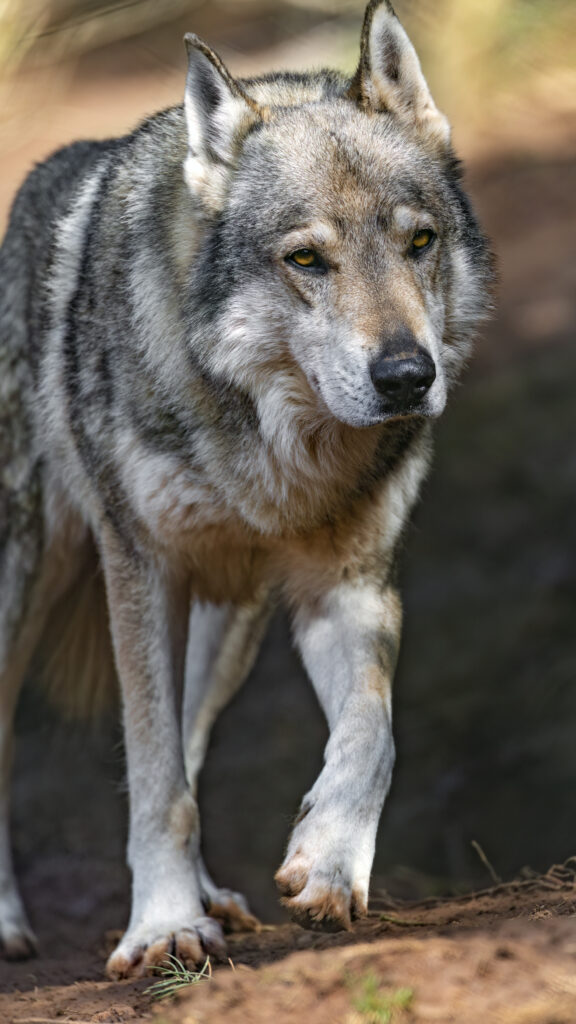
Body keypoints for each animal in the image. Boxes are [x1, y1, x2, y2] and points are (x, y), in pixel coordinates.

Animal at [0, 0, 493, 978]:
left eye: (419, 242)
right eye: (306, 260)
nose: (407, 377)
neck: (275, 446)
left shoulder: (348, 585)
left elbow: (372, 735)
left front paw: (328, 862)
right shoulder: (141, 573)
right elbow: (154, 778)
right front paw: (161, 927)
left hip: (227, 625)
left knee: (195, 740)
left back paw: (213, 896)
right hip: (29, 582)